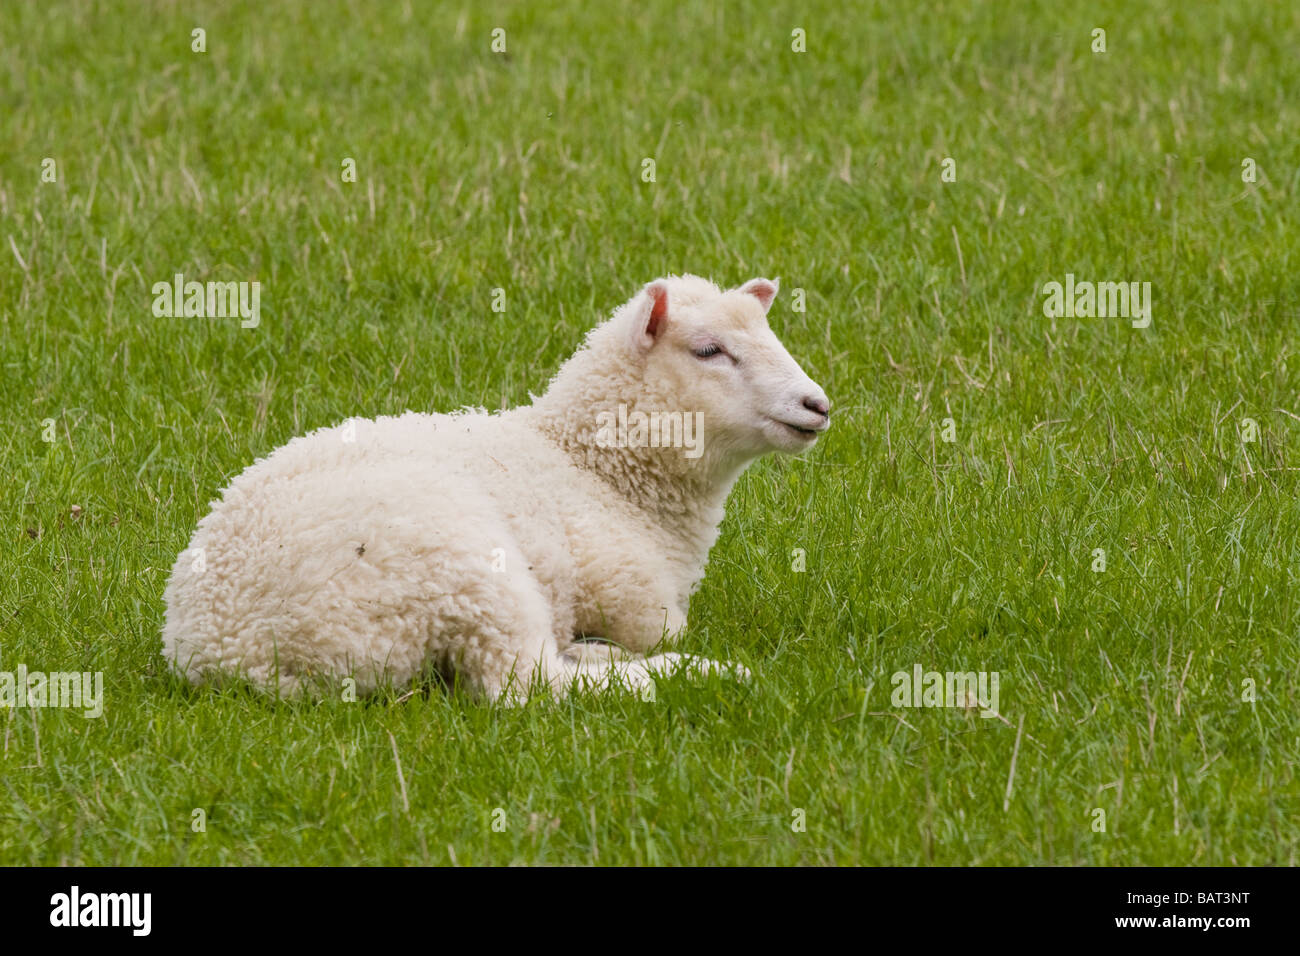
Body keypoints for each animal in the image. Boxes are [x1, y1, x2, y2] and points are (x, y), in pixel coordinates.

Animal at [161, 274, 831, 701]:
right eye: (709, 350)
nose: (817, 405)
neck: (596, 470)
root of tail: (228, 655)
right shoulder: (635, 599)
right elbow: (657, 631)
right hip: (467, 571)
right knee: (523, 683)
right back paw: (701, 674)